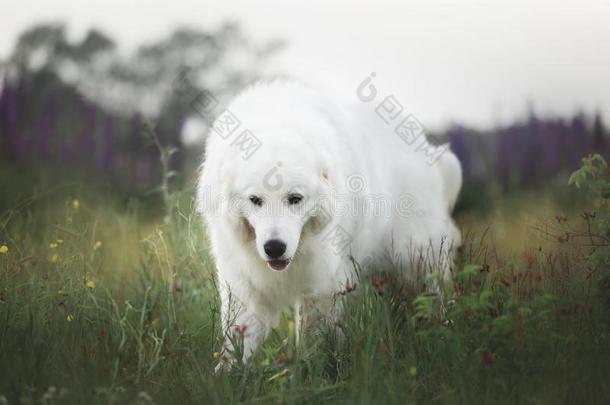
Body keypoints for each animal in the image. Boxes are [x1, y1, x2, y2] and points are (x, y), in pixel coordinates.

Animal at [197, 79, 458, 370]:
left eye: (295, 199)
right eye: (255, 200)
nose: (274, 248)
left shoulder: (323, 282)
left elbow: (316, 336)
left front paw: (314, 371)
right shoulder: (244, 281)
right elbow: (240, 333)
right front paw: (229, 374)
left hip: (415, 257)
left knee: (432, 296)